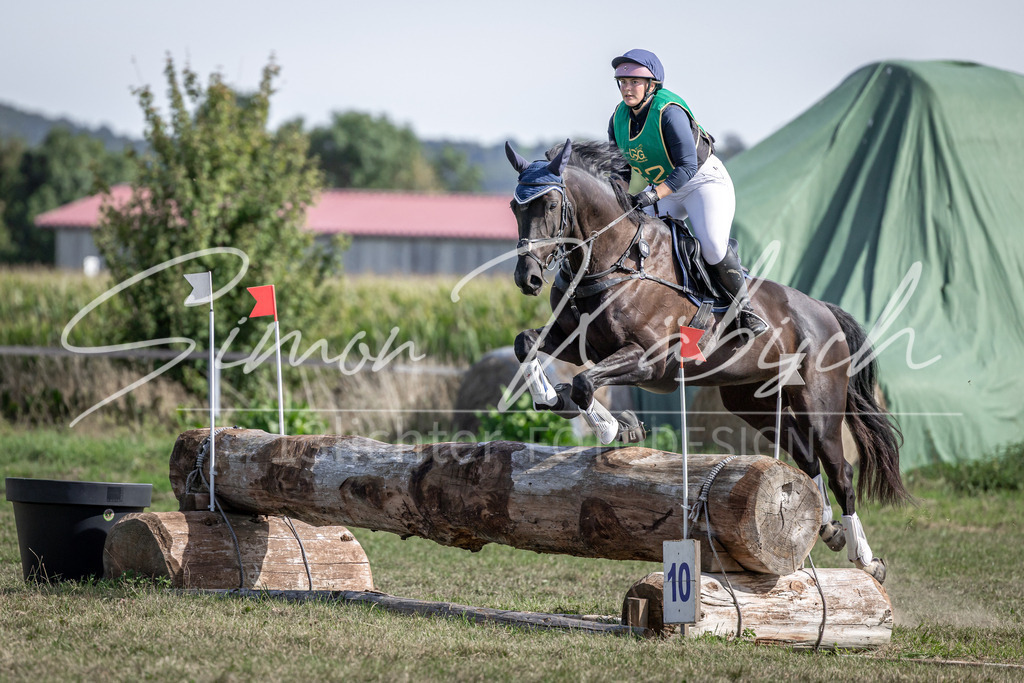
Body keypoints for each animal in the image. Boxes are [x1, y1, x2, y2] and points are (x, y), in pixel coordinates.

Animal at [504, 138, 908, 583]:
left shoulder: (647, 360)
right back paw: (825, 525)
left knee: (840, 469)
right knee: (804, 457)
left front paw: (614, 427)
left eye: (549, 204)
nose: (528, 279)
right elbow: (527, 344)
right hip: (754, 402)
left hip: (819, 405)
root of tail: (822, 309)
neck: (612, 261)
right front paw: (552, 397)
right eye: (515, 207)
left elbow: (585, 383)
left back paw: (865, 558)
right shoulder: (576, 342)